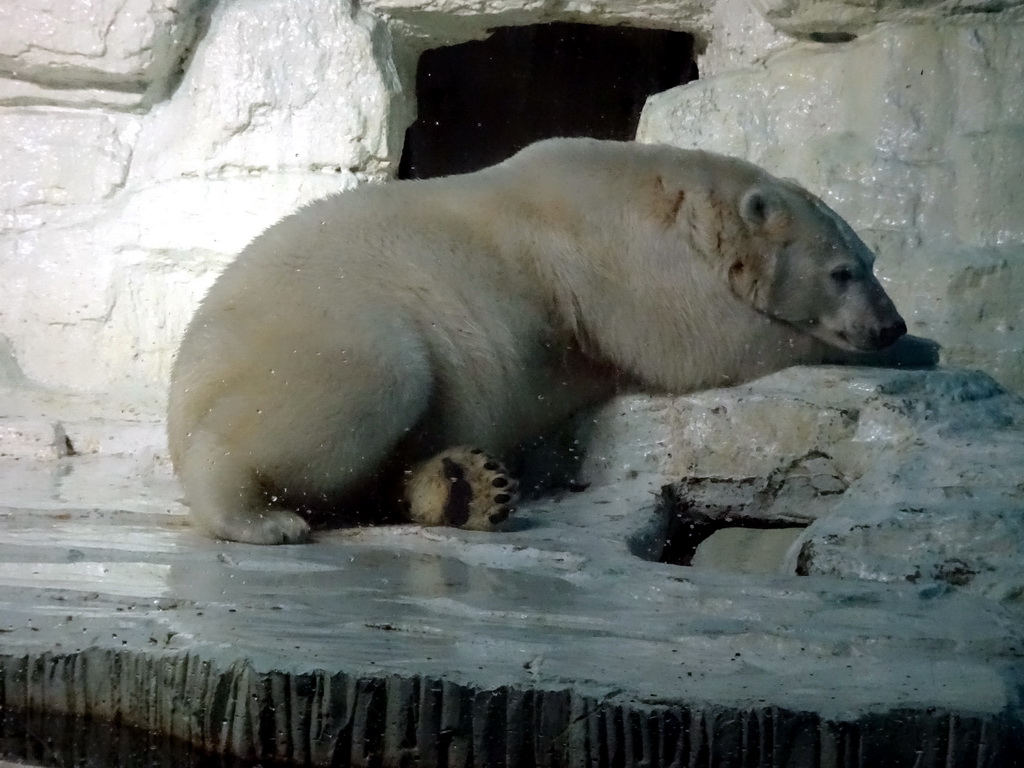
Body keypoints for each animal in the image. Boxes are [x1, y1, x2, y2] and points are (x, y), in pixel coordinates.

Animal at [169, 140, 929, 548]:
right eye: (843, 271)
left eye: (870, 259)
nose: (887, 324)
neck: (673, 193)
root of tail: (182, 383)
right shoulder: (617, 257)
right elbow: (696, 340)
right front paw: (919, 346)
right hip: (324, 323)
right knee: (365, 386)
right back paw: (264, 520)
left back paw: (466, 487)